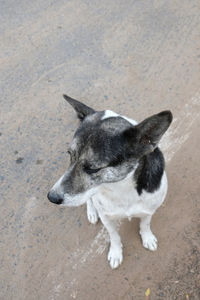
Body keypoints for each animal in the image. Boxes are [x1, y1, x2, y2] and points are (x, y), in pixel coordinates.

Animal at [47, 95, 173, 270]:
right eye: (70, 155)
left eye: (93, 168)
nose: (51, 197)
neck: (121, 188)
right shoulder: (107, 218)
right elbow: (114, 236)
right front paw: (115, 252)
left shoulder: (149, 209)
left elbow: (145, 224)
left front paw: (147, 237)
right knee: (90, 201)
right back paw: (91, 212)